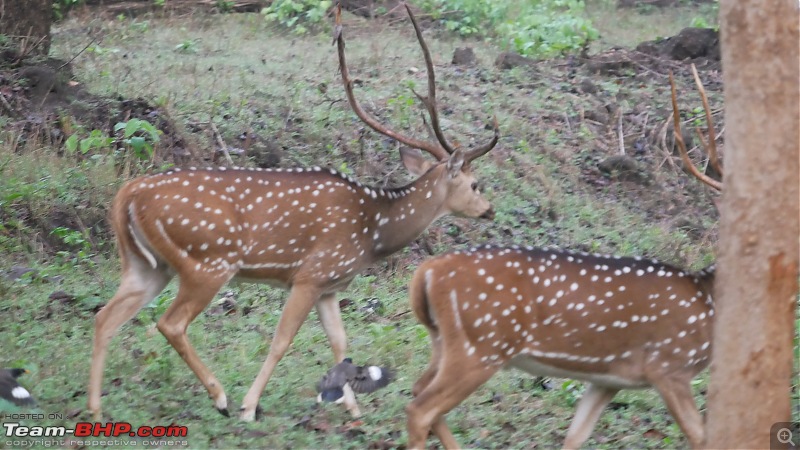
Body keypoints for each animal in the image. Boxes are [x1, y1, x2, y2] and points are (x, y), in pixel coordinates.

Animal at [90, 2, 496, 422]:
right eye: (475, 183)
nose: (489, 210)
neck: (372, 231)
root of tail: (128, 194)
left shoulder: (330, 286)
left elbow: (340, 343)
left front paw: (354, 412)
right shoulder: (309, 274)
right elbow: (282, 340)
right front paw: (250, 407)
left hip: (147, 264)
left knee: (105, 317)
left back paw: (95, 411)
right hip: (207, 262)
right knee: (170, 323)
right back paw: (220, 398)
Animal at [406, 246, 712, 450]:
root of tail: (427, 271)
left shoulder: (608, 379)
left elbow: (575, 436)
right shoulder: (670, 367)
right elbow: (700, 436)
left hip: (444, 341)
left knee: (419, 389)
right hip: (482, 346)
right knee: (420, 409)